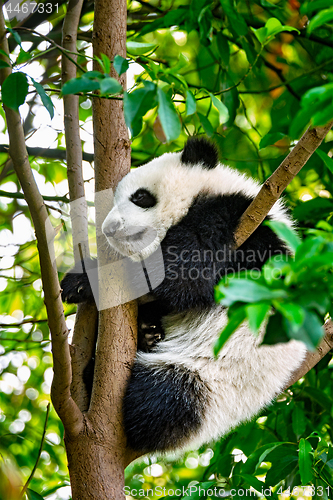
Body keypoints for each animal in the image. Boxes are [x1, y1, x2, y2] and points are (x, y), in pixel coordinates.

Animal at [61, 136, 306, 454]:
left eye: (140, 197)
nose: (110, 229)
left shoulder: (235, 219)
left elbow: (181, 274)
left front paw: (91, 276)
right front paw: (77, 282)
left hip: (207, 383)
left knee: (161, 399)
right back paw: (147, 333)